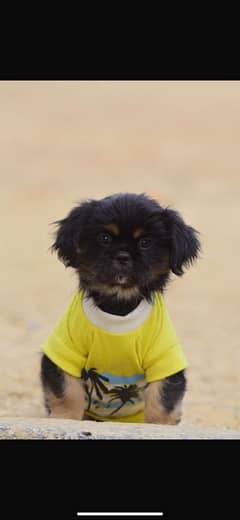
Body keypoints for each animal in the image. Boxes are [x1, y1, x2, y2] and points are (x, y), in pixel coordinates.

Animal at [40, 193, 200, 424]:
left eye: (145, 243)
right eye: (104, 238)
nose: (123, 255)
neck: (118, 306)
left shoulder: (165, 359)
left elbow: (163, 398)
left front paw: (160, 425)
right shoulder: (62, 351)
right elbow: (67, 391)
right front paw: (64, 418)